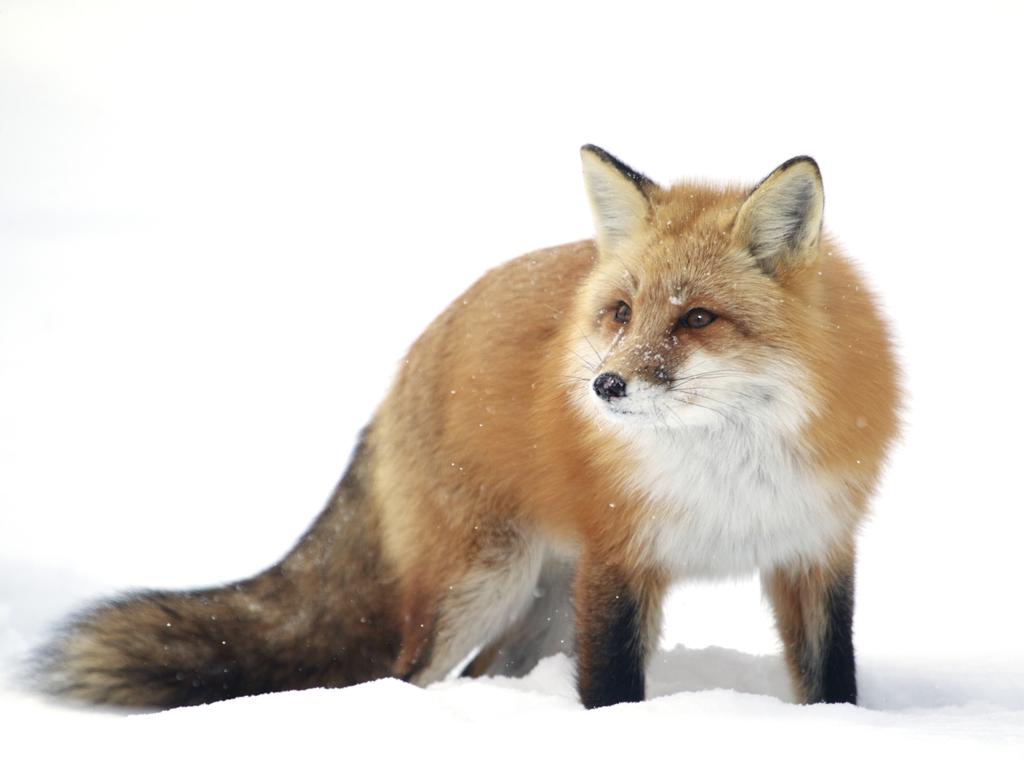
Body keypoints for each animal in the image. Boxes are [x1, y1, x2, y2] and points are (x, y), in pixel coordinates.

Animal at [44, 147, 901, 712]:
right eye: (622, 313)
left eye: (697, 318)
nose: (606, 385)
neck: (728, 472)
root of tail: (418, 351)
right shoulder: (620, 562)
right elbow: (613, 692)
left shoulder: (814, 550)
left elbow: (832, 683)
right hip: (482, 584)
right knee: (406, 674)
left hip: (545, 608)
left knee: (484, 671)